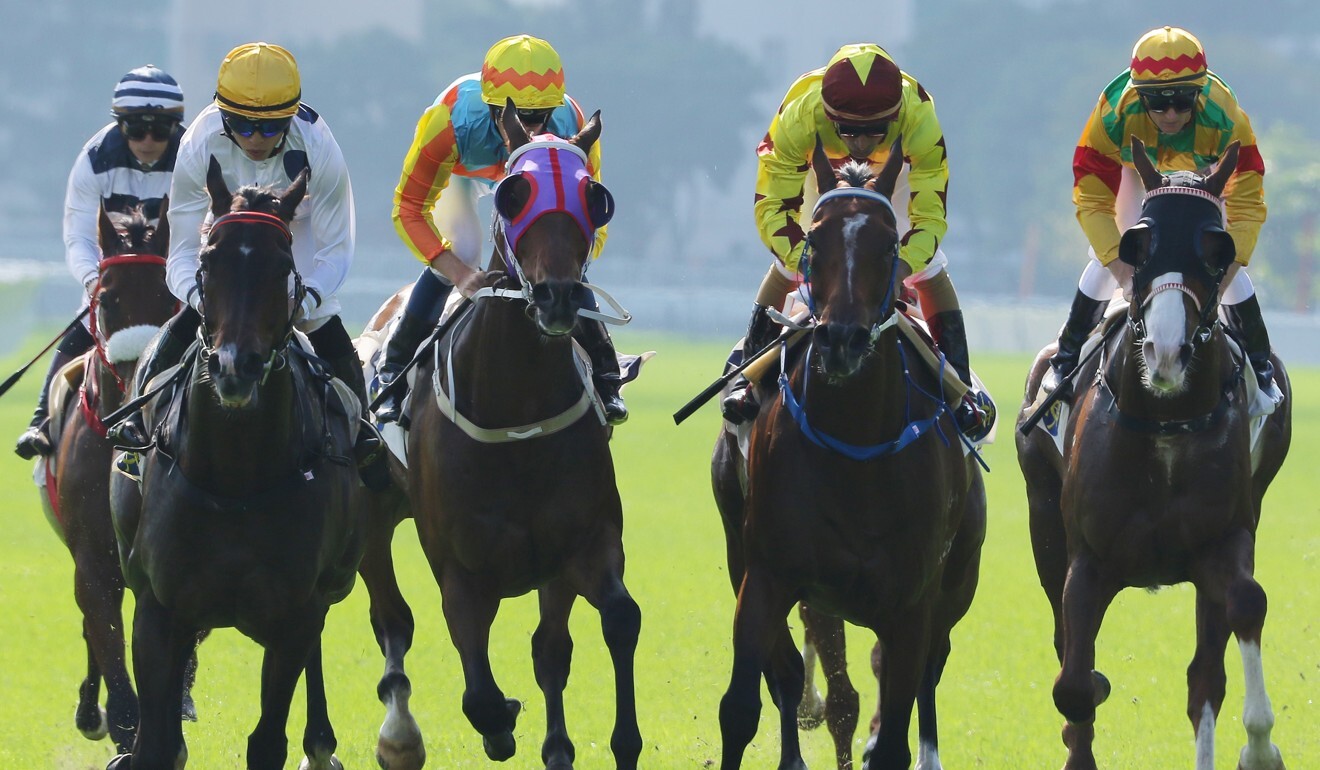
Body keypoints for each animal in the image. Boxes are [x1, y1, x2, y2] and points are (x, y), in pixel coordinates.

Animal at [40, 204, 178, 755]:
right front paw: (120, 727)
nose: (140, 380)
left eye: (168, 297)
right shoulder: (94, 557)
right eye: (109, 297)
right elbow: (107, 641)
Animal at [106, 158, 366, 770]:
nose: (234, 366)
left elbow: (267, 740)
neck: (234, 478)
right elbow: (155, 744)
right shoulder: (159, 609)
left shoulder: (294, 615)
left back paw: (321, 743)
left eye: (282, 265)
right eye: (208, 260)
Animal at [353, 103, 636, 770]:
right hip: (373, 514)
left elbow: (612, 621)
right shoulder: (459, 568)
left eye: (594, 196)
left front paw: (616, 741)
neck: (518, 412)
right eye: (514, 192)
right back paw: (400, 736)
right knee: (391, 618)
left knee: (550, 647)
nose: (558, 296)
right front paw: (502, 721)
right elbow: (478, 691)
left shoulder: (583, 541)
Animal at [712, 138, 992, 770]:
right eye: (815, 242)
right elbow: (744, 706)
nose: (841, 339)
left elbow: (891, 732)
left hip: (955, 586)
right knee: (803, 680)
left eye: (887, 246)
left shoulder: (912, 604)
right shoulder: (767, 576)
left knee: (925, 676)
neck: (857, 449)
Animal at [1013, 138, 1293, 770]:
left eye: (1215, 249)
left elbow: (1246, 605)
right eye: (1140, 245)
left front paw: (1260, 746)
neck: (1166, 424)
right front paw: (1088, 703)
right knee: (1067, 648)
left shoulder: (1224, 538)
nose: (1167, 351)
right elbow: (1073, 682)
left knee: (1205, 676)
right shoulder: (1087, 559)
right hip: (1043, 518)